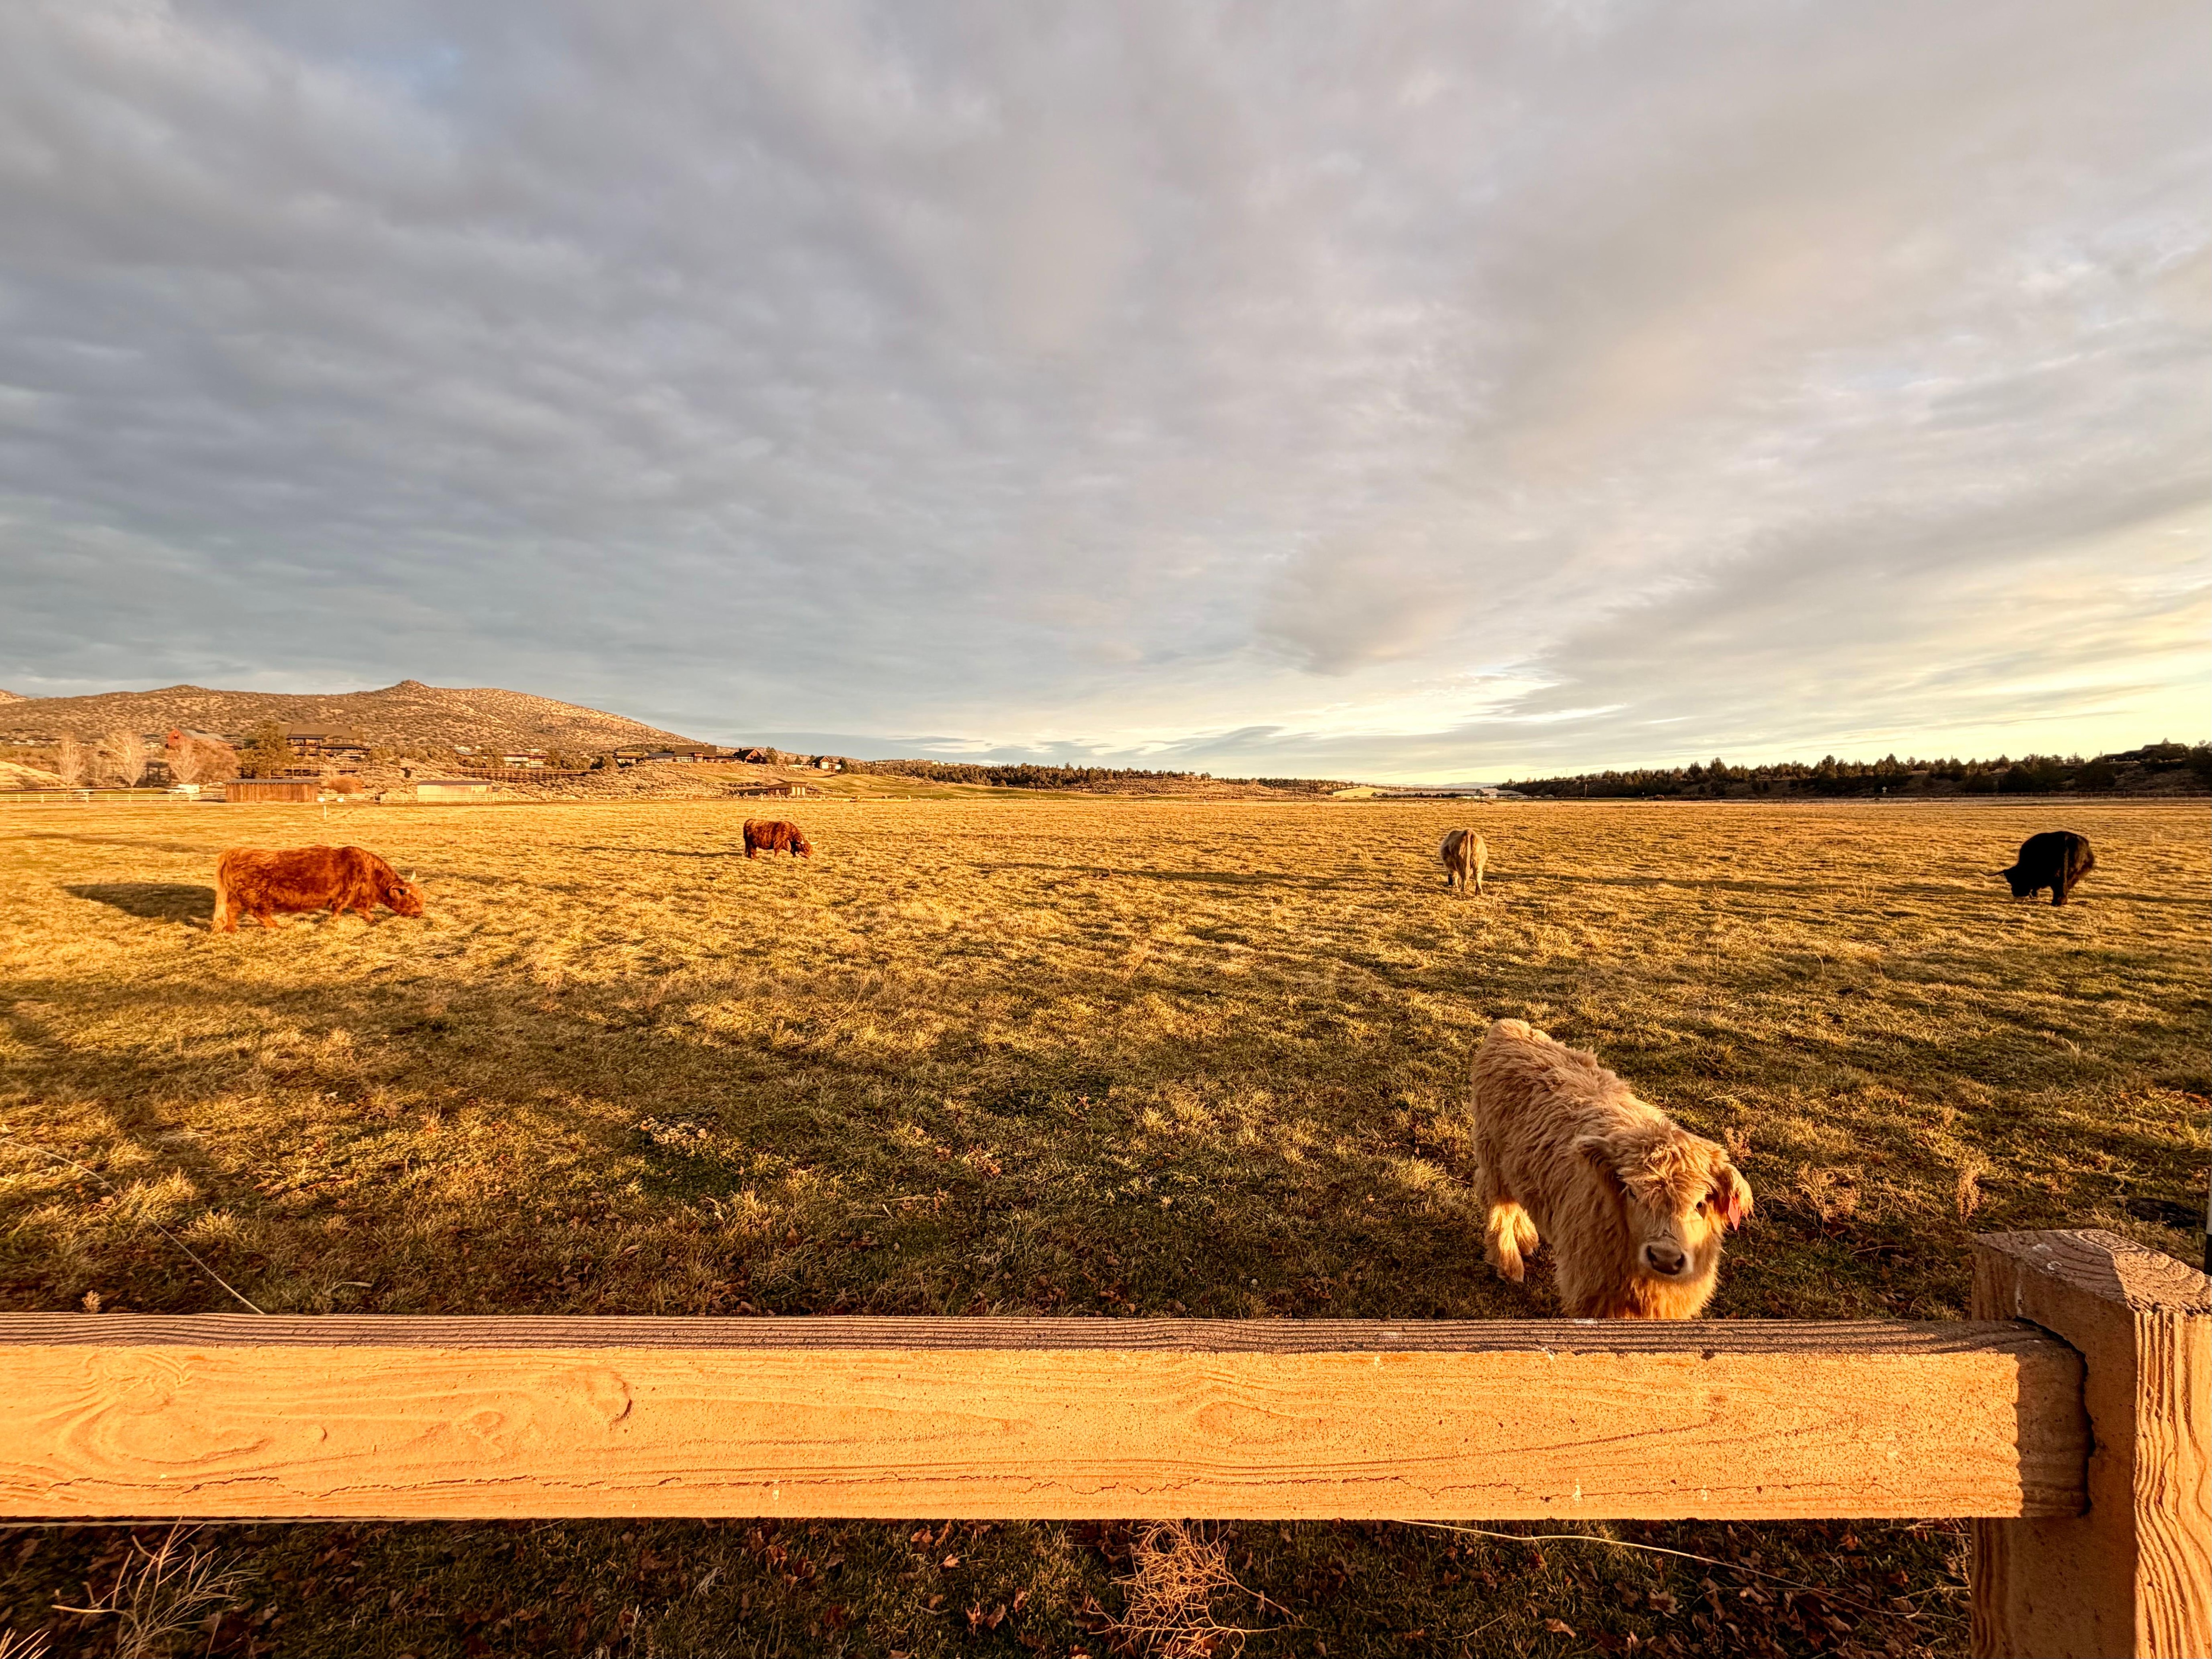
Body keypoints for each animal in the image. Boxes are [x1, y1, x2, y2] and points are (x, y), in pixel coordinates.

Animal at [213, 845, 425, 933]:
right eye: (413, 899)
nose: (420, 914)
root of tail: (235, 853)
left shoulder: (358, 898)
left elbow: (363, 911)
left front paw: (374, 920)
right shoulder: (346, 894)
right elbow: (339, 909)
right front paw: (333, 923)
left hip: (237, 896)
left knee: (232, 911)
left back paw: (231, 930)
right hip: (256, 897)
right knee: (258, 913)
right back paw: (275, 927)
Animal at [743, 819, 813, 859]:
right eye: (805, 849)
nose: (810, 855)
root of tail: (749, 821)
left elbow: (793, 852)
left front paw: (795, 857)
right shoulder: (778, 844)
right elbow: (777, 852)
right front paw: (776, 858)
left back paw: (749, 857)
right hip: (751, 843)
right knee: (753, 850)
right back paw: (755, 858)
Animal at [1440, 828, 1487, 895]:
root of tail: (1469, 832)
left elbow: (1455, 875)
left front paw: (1455, 887)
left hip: (1462, 862)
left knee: (1464, 875)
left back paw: (1463, 889)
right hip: (1477, 861)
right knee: (1477, 875)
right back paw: (1479, 891)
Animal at [1469, 1018, 1752, 1319]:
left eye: (1700, 1203)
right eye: (1633, 1193)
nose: (1664, 1257)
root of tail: (1510, 1026)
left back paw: (1526, 1239)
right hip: (1492, 1156)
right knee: (1500, 1205)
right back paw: (1509, 1264)